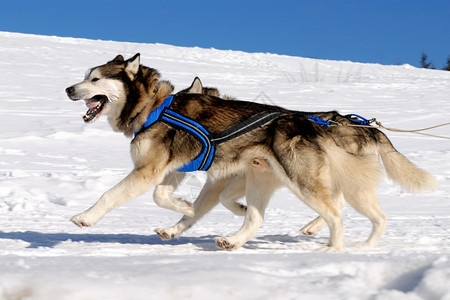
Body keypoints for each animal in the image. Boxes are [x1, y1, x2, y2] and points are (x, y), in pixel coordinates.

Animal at [65, 54, 438, 251]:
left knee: (338, 213)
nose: (68, 88)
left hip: (305, 182)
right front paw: (182, 213)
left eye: (95, 79)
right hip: (265, 177)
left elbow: (112, 194)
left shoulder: (150, 170)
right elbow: (168, 198)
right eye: (85, 76)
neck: (155, 107)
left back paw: (334, 247)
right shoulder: (176, 171)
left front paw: (85, 217)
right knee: (259, 217)